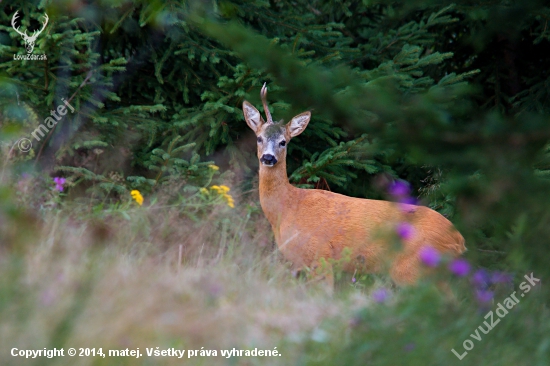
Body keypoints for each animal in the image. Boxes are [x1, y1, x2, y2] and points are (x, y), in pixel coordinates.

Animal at [244, 83, 468, 288]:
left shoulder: (321, 256)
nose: (268, 158)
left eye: (283, 142)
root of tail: (459, 240)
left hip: (414, 270)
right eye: (259, 138)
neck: (288, 207)